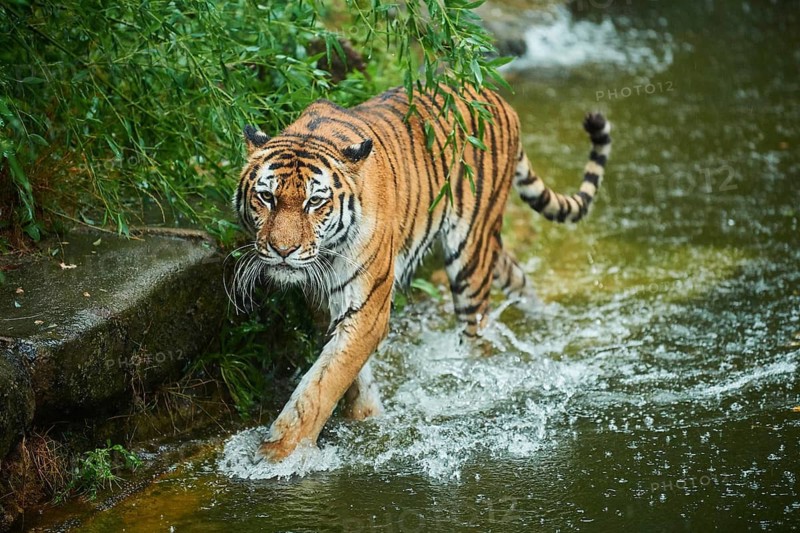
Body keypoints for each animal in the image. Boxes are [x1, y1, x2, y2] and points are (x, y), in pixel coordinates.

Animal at [234, 84, 611, 461]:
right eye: (266, 197)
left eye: (314, 202)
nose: (283, 250)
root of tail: (494, 95)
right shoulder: (325, 301)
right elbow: (347, 374)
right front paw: (367, 416)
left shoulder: (368, 308)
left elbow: (320, 387)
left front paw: (277, 455)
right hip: (488, 247)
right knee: (516, 276)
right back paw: (545, 316)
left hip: (470, 252)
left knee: (477, 337)